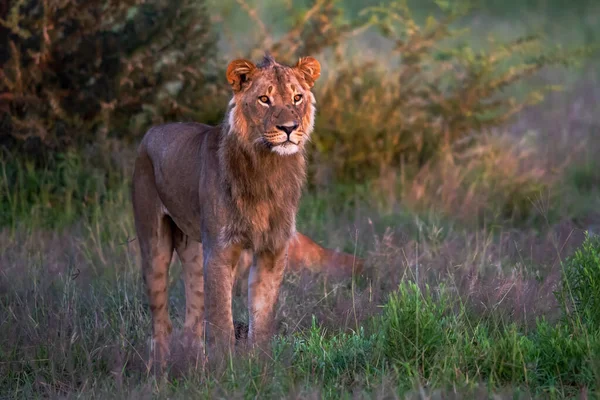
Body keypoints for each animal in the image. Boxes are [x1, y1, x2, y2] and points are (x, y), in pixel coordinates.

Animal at [132, 54, 360, 366]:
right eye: (264, 99)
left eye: (297, 97)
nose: (289, 128)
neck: (267, 168)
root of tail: (152, 131)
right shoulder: (220, 250)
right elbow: (221, 322)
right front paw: (224, 369)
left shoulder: (272, 249)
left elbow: (262, 317)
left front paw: (261, 367)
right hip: (154, 242)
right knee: (161, 318)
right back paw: (161, 368)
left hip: (195, 249)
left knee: (193, 317)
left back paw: (194, 364)